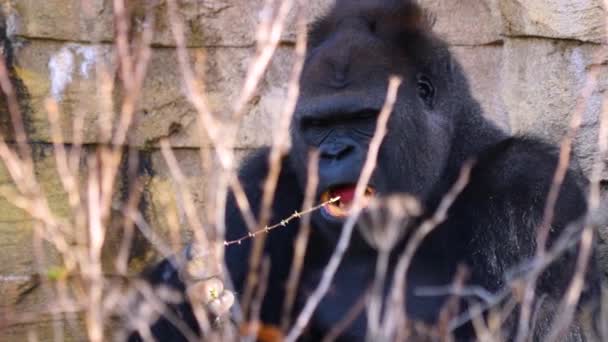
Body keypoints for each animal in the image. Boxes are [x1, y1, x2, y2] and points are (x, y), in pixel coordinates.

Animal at [131, 0, 600, 342]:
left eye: (364, 118)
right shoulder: (260, 186)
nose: (335, 152)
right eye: (318, 125)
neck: (444, 177)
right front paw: (187, 295)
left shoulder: (529, 191)